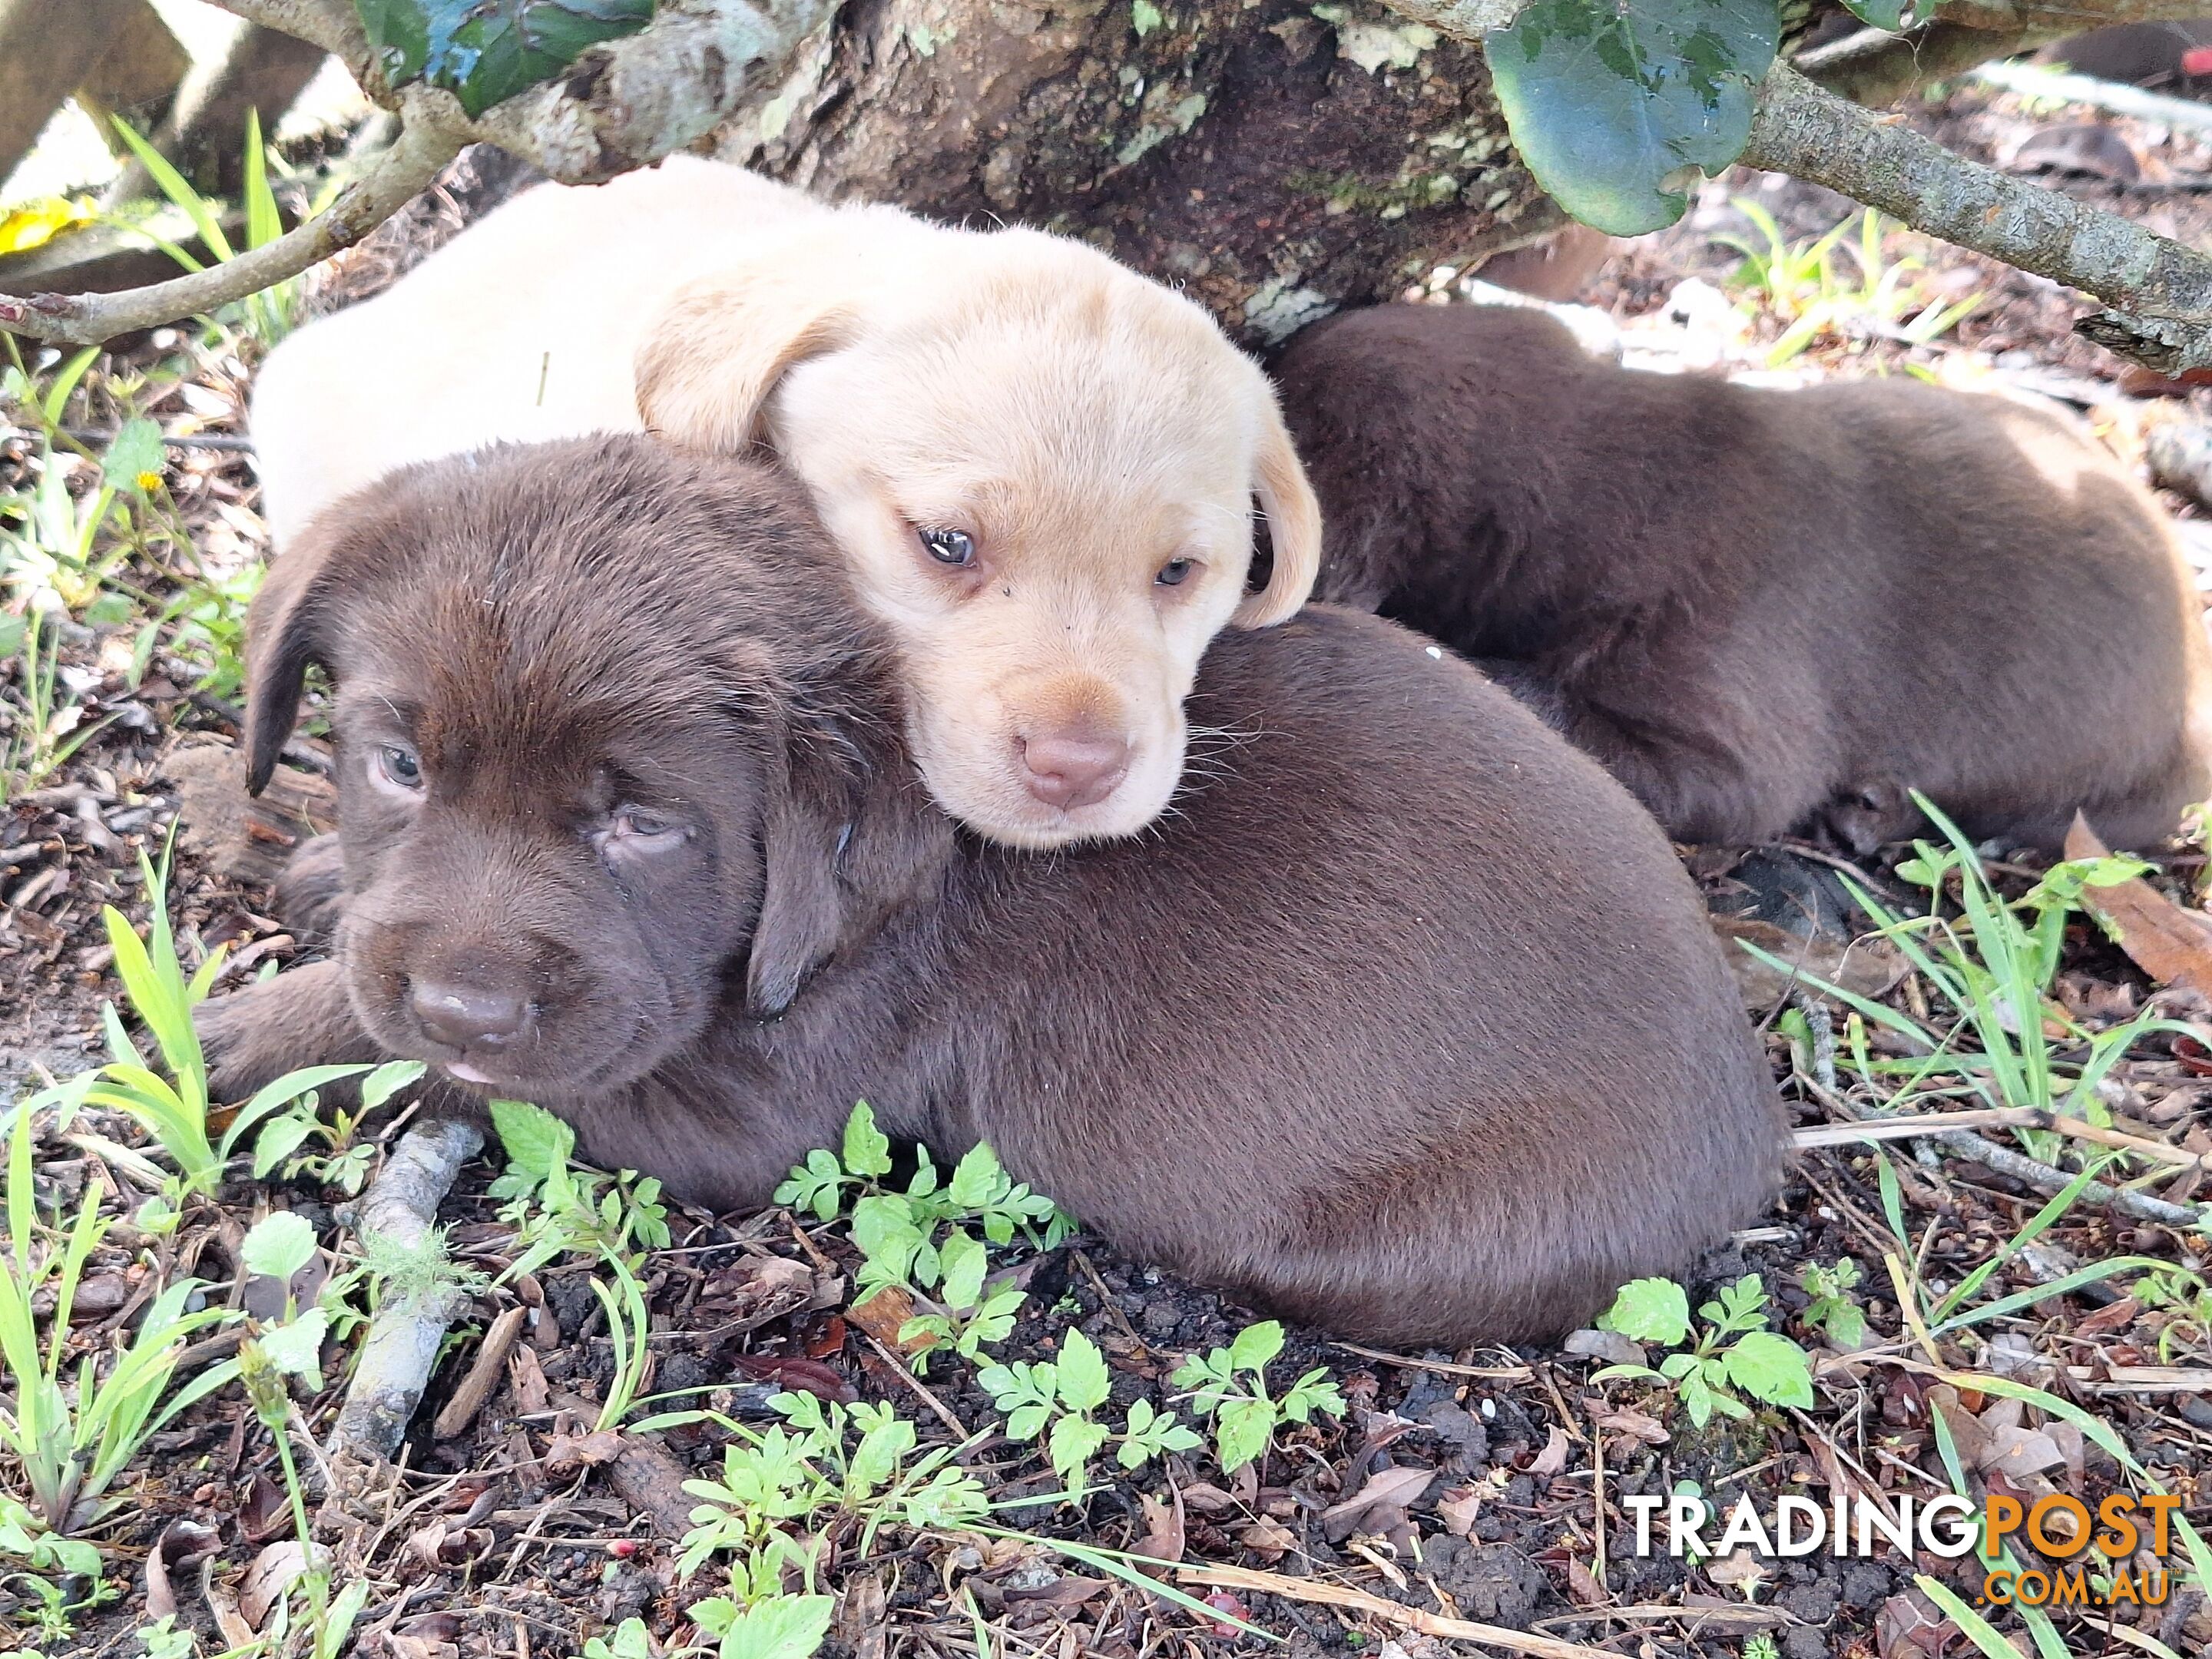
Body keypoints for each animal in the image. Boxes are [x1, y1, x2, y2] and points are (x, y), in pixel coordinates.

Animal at [199, 435, 1787, 1345]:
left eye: (647, 827)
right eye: (398, 765)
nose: (463, 998)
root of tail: (1750, 1121)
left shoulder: (735, 1106)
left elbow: (449, 1072)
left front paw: (248, 1036)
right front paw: (319, 875)